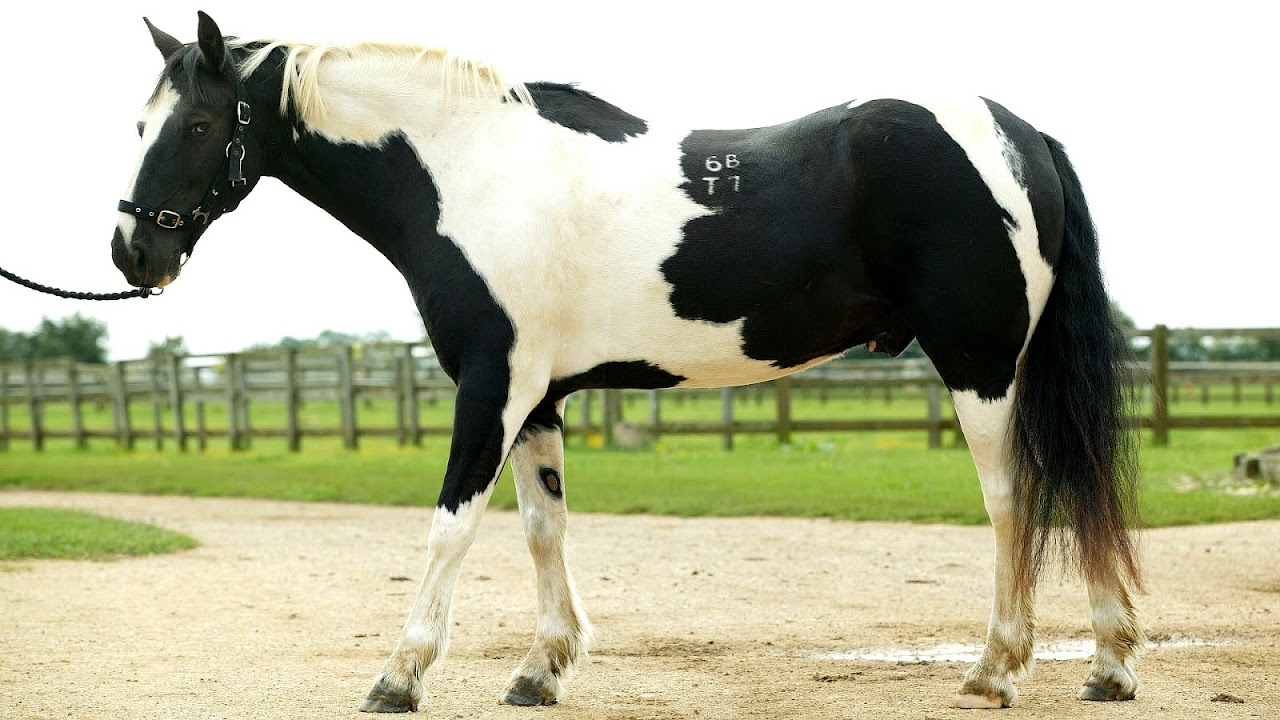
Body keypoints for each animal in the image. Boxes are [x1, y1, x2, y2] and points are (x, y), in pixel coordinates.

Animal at [112, 12, 1143, 713]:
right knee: (1075, 483)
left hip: (980, 364)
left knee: (1015, 499)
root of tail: (1020, 136)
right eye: (139, 124)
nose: (133, 254)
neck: (474, 170)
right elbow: (543, 529)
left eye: (197, 126)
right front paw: (541, 668)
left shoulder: (490, 387)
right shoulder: (536, 398)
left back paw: (996, 671)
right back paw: (1107, 664)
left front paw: (398, 677)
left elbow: (451, 528)